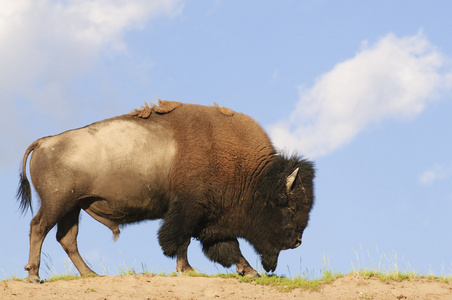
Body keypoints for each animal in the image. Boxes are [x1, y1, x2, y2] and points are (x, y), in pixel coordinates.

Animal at [16, 101, 314, 284]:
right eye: (290, 206)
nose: (297, 241)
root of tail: (44, 142)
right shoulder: (189, 210)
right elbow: (182, 240)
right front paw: (188, 269)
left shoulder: (207, 218)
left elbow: (223, 246)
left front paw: (248, 271)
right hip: (57, 203)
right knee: (38, 227)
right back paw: (34, 276)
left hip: (73, 207)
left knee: (66, 238)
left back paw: (90, 274)